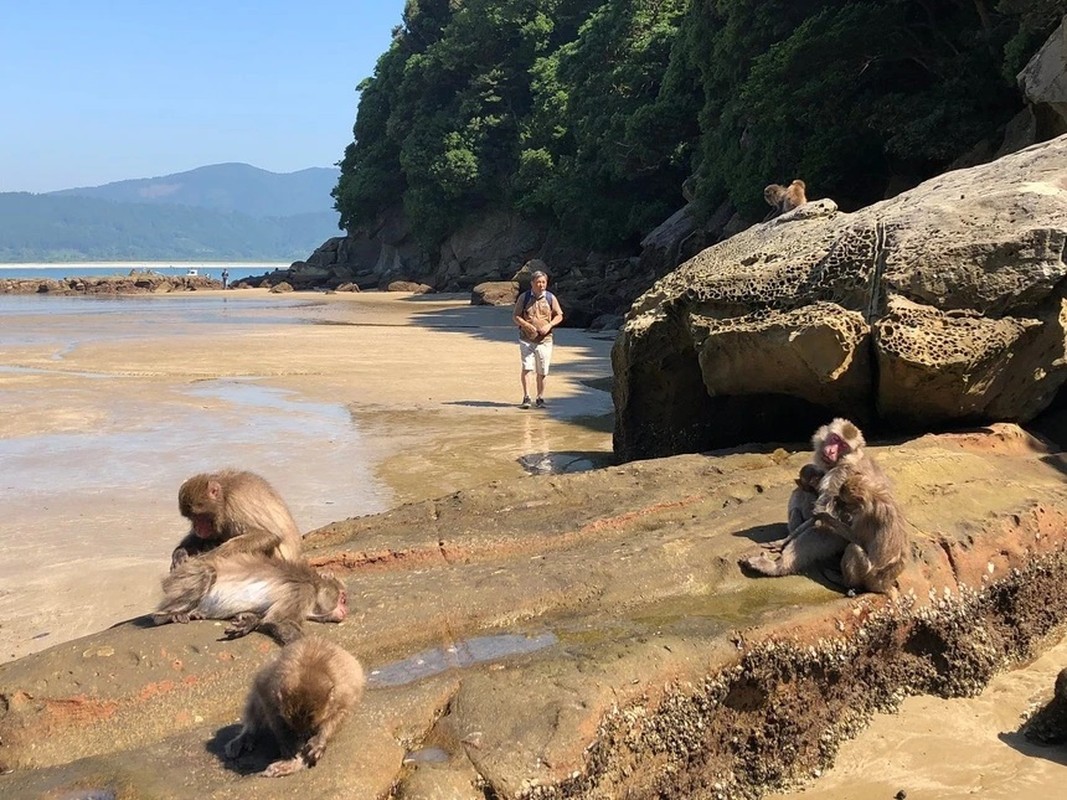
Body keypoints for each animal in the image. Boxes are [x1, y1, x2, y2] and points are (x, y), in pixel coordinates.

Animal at [154, 550, 347, 644]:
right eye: (343, 599)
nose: (346, 610)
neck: (314, 587)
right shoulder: (302, 591)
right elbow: (278, 620)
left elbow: (265, 618)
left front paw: (248, 622)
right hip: (184, 575)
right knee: (207, 573)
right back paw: (168, 615)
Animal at [170, 467, 305, 571]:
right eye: (192, 518)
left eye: (200, 516)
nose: (197, 528)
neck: (224, 496)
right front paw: (179, 553)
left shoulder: (237, 501)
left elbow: (269, 534)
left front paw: (204, 558)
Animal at [225, 635, 367, 780]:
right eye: (290, 721)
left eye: (312, 721)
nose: (300, 735)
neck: (311, 667)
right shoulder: (271, 689)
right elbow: (270, 711)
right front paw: (287, 742)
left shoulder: (344, 694)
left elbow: (338, 716)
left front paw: (317, 744)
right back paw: (245, 738)